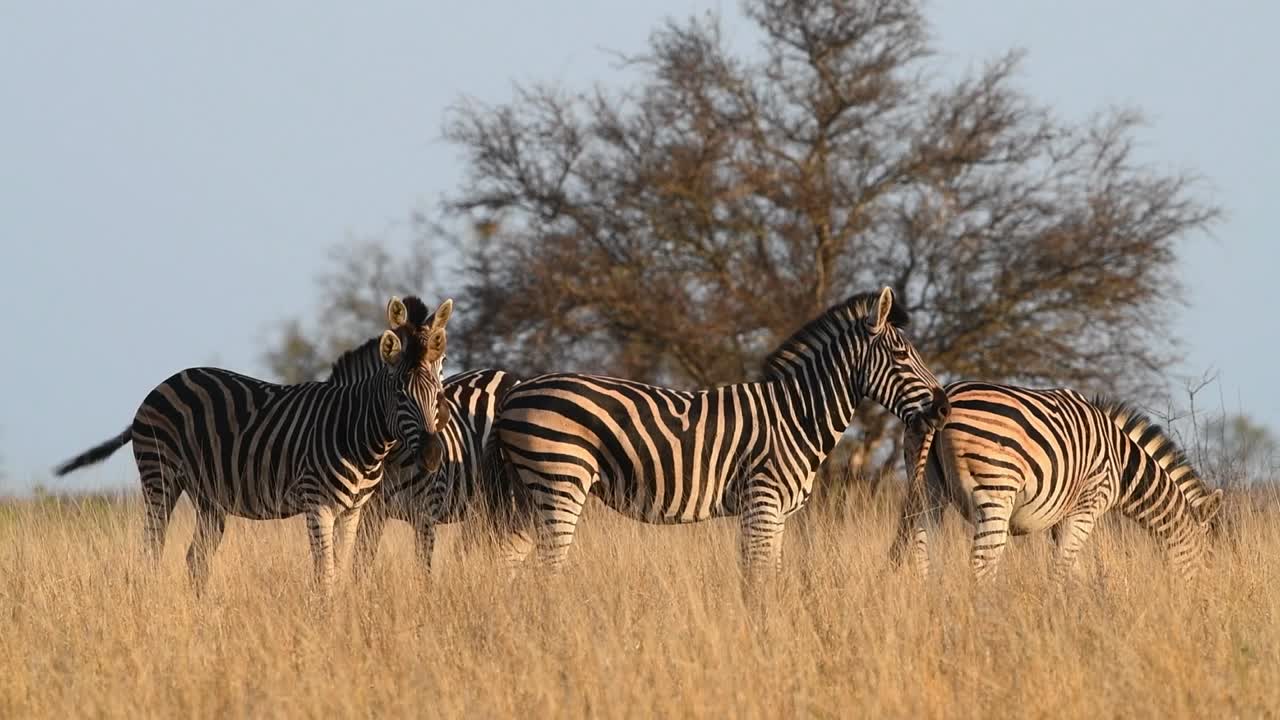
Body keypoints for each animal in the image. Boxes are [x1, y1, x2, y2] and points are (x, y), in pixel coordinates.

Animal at [52, 296, 453, 594]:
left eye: (437, 384)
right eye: (400, 394)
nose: (434, 454)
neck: (359, 433)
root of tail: (163, 384)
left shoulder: (353, 510)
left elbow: (341, 572)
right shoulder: (318, 505)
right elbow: (324, 576)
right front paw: (326, 626)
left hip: (208, 496)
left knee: (196, 558)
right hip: (160, 477)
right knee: (152, 549)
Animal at [495, 287, 950, 577]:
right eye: (901, 355)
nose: (944, 407)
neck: (797, 415)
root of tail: (515, 394)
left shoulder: (777, 514)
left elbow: (768, 577)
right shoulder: (762, 502)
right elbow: (758, 580)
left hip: (530, 492)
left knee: (512, 563)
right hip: (561, 479)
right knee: (548, 570)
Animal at [886, 381, 1224, 581]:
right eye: (1209, 557)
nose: (1204, 602)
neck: (1123, 465)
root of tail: (945, 400)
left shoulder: (1061, 517)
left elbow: (1072, 570)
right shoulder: (1086, 508)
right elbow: (1062, 568)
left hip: (927, 487)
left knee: (922, 550)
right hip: (996, 491)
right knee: (982, 563)